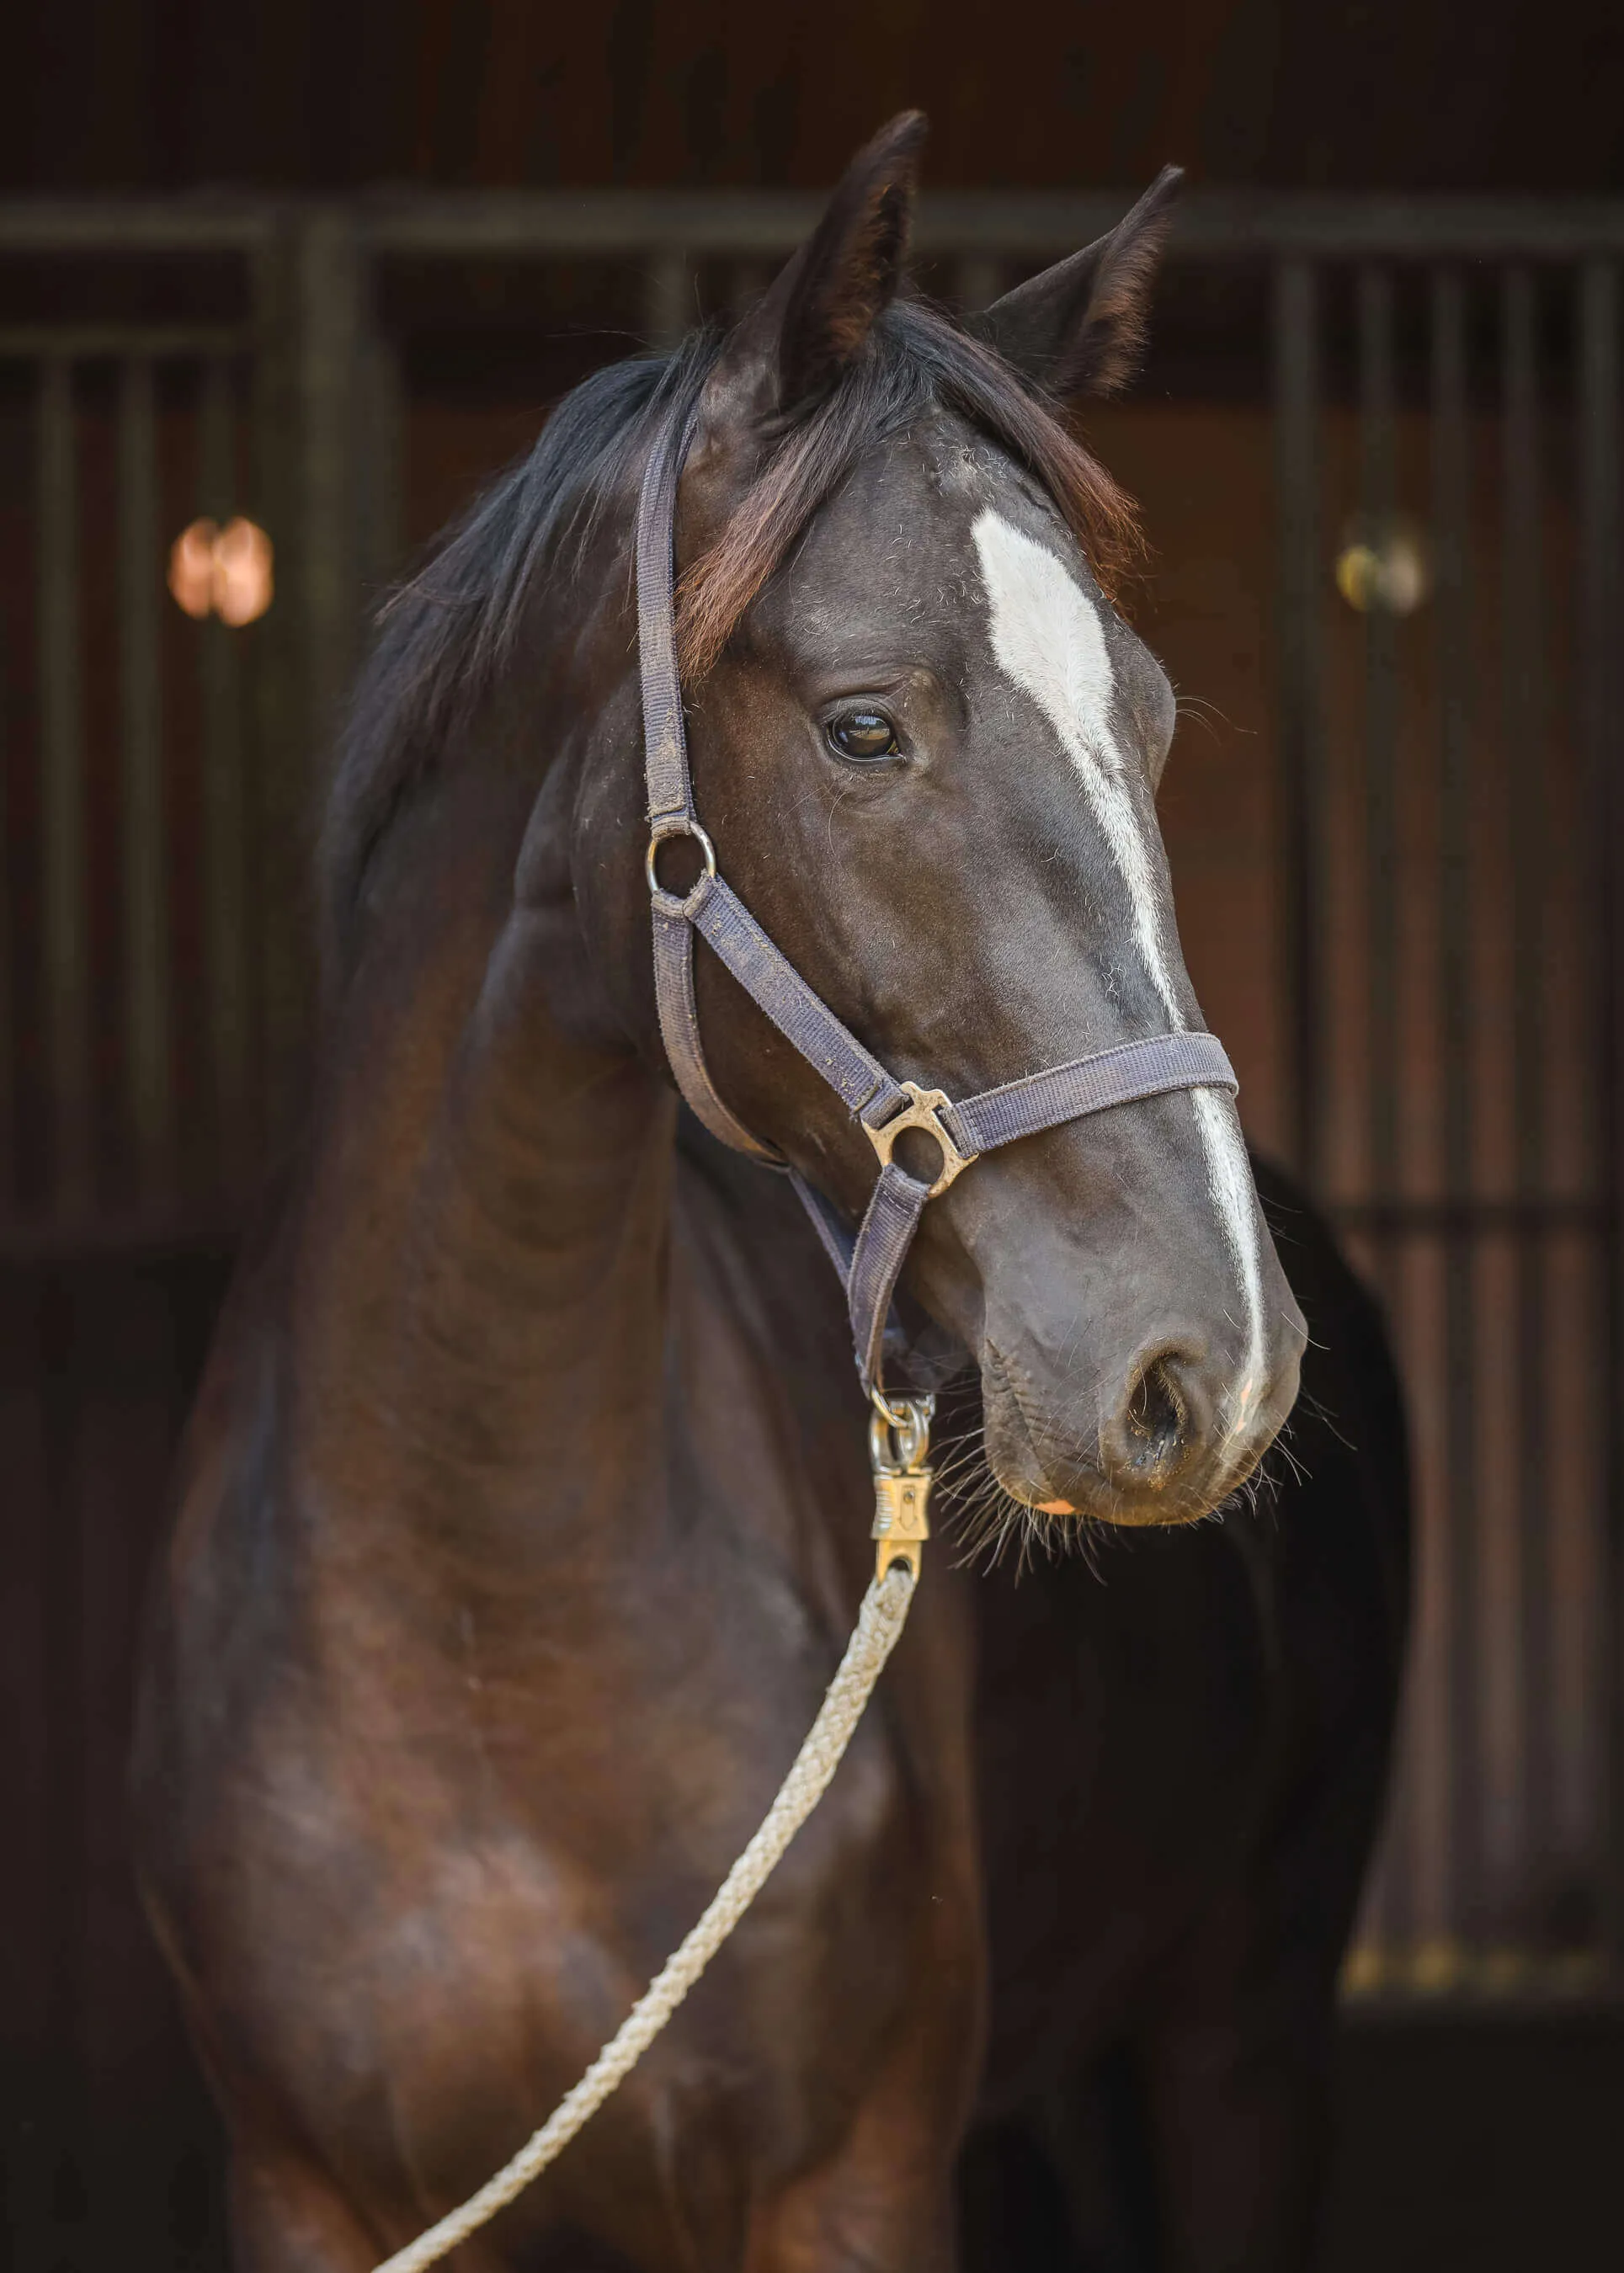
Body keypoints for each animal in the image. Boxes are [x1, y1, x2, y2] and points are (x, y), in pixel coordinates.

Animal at [133, 114, 1408, 2273]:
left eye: (1149, 725)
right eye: (862, 726)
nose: (1207, 1362)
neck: (480, 1624)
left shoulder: (853, 2183)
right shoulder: (305, 2194)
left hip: (1242, 2034)